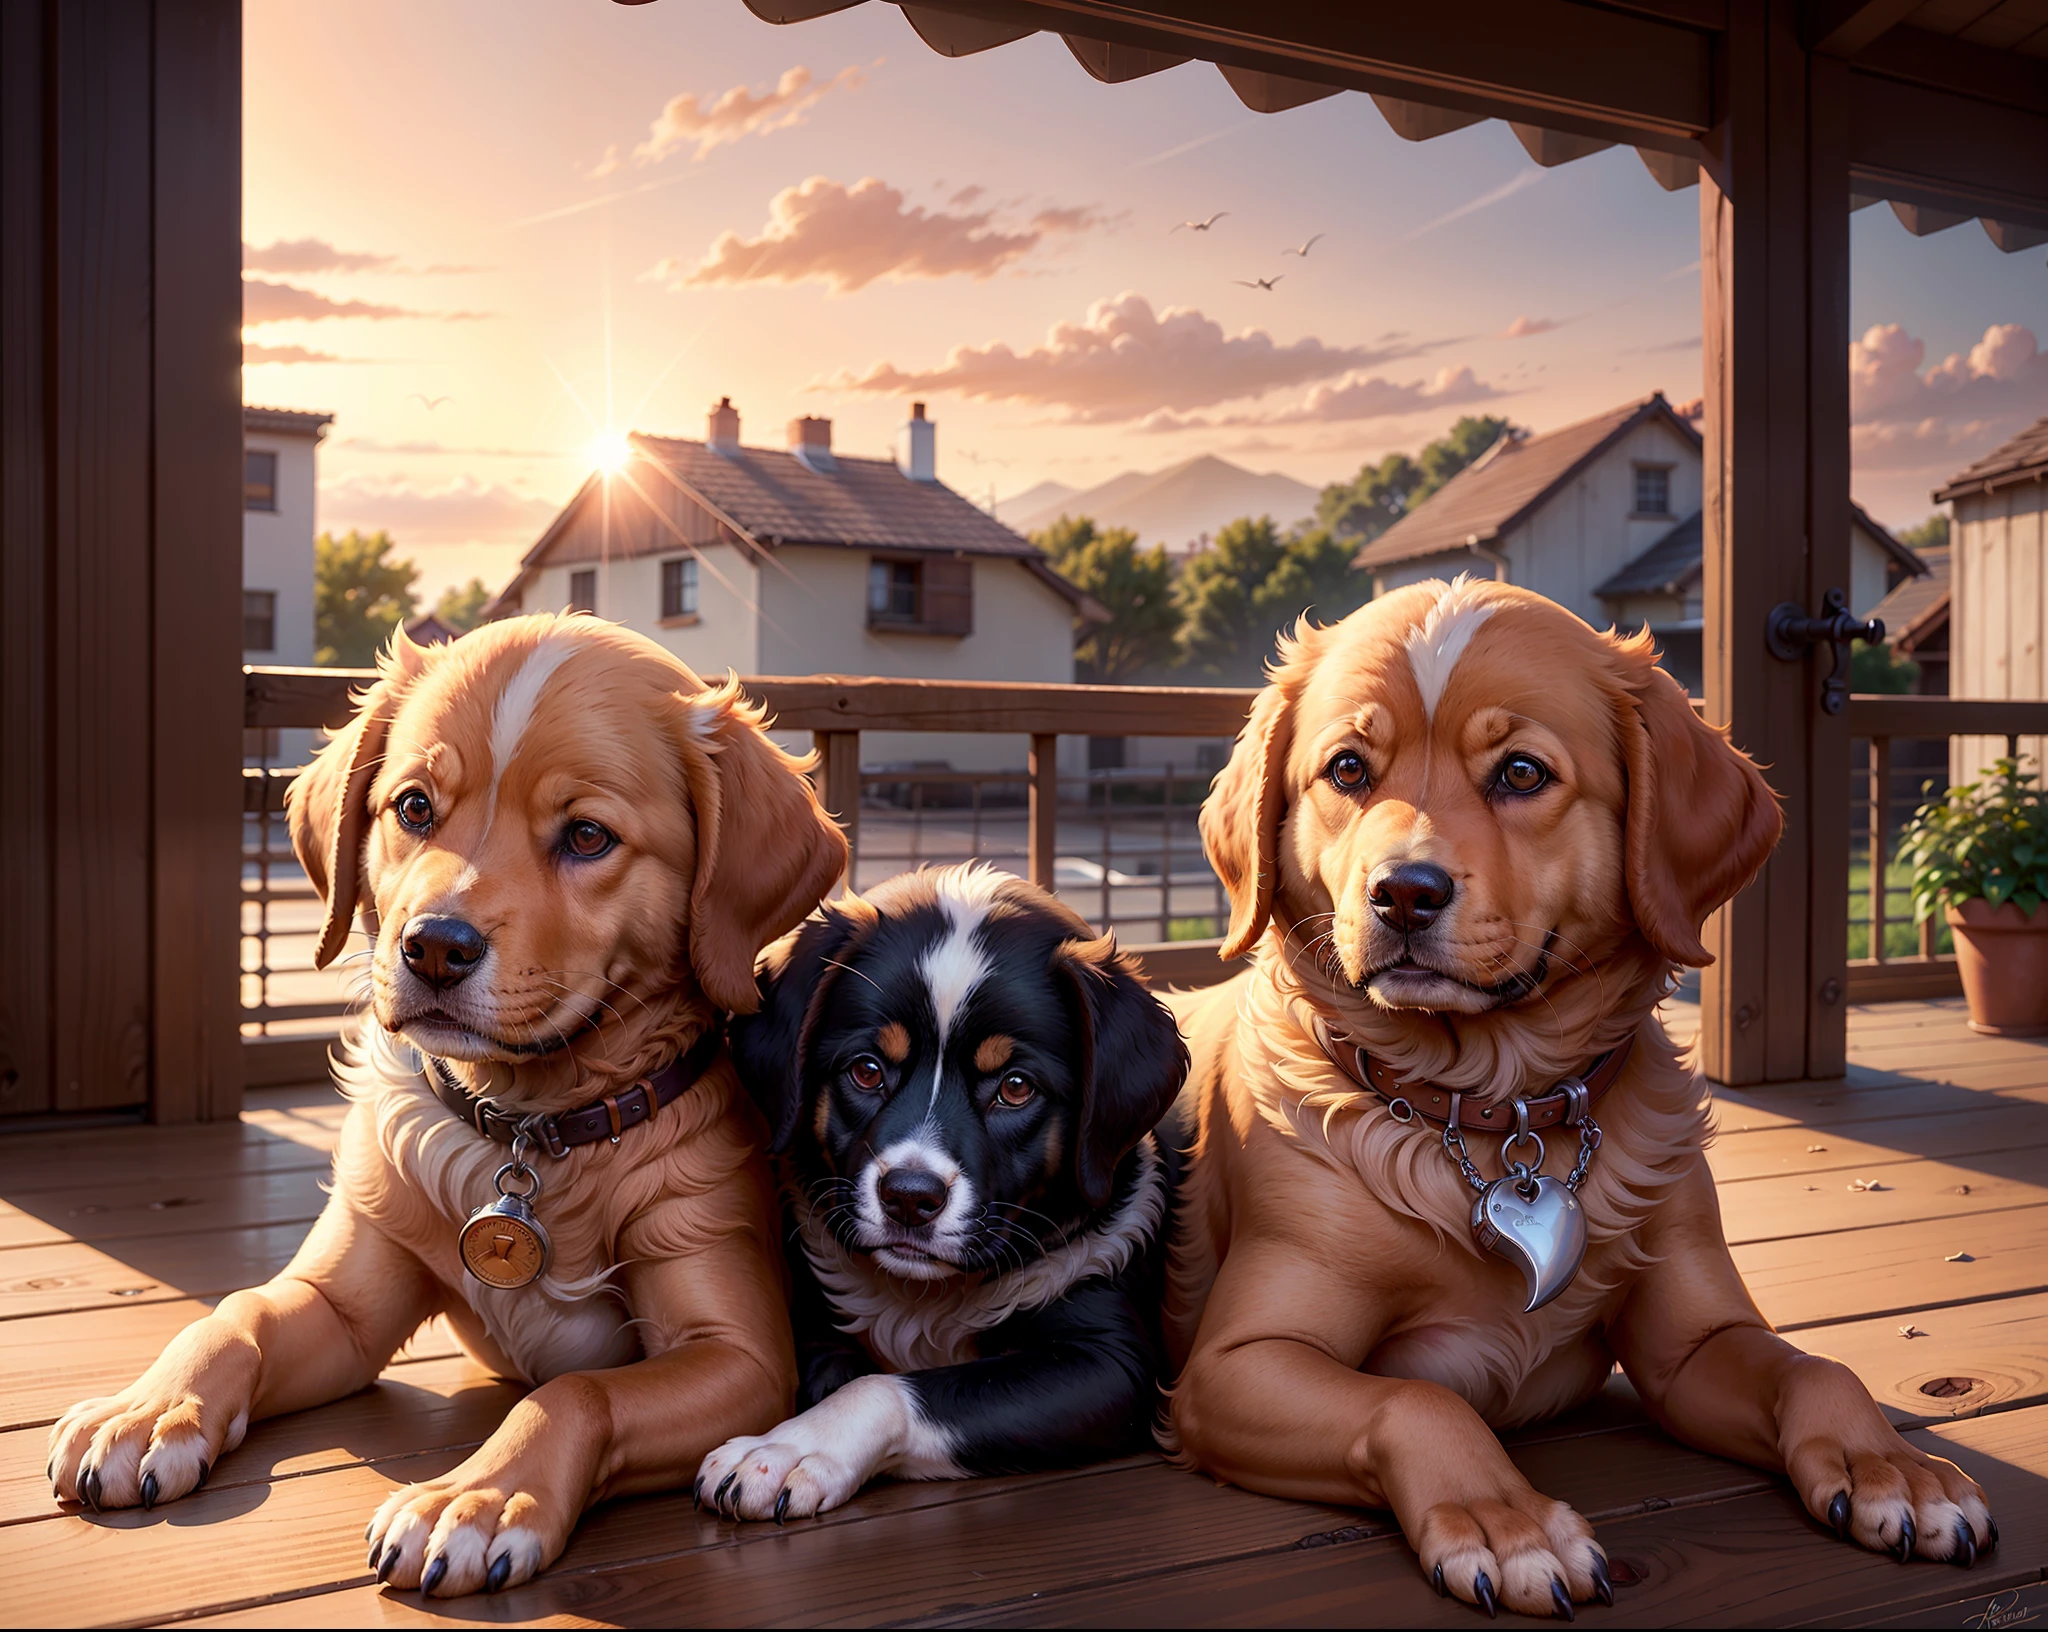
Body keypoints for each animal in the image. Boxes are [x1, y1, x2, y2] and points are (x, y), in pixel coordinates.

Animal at [49, 610, 847, 1588]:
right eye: (414, 808)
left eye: (588, 837)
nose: (433, 947)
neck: (525, 1134)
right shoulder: (347, 1306)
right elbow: (236, 1313)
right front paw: (147, 1410)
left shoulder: (741, 1357)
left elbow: (577, 1391)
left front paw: (475, 1498)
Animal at [700, 864, 1187, 1515]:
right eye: (866, 1071)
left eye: (1015, 1087)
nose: (909, 1198)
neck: (926, 1301)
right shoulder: (808, 1319)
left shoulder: (1112, 1362)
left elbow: (892, 1388)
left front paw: (786, 1451)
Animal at [1163, 577, 1990, 1613]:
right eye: (1348, 769)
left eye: (1521, 773)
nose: (1403, 893)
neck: (1491, 1109)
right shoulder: (1236, 1366)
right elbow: (1416, 1398)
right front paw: (1507, 1523)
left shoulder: (1694, 1349)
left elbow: (1822, 1367)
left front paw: (1897, 1471)